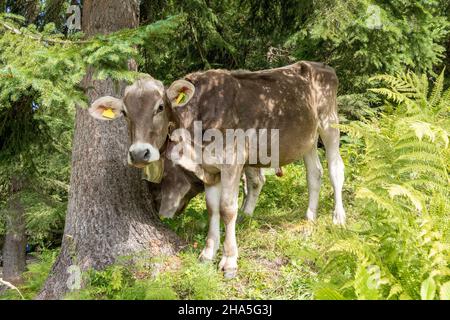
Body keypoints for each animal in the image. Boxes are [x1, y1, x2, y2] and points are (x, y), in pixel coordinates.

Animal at [89, 62, 348, 278]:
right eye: (124, 112)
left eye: (160, 107)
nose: (138, 153)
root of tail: (320, 66)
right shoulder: (209, 169)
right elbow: (212, 208)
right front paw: (207, 253)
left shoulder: (233, 160)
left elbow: (227, 209)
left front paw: (230, 260)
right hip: (306, 139)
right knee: (314, 173)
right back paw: (310, 217)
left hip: (329, 123)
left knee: (335, 169)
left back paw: (338, 217)